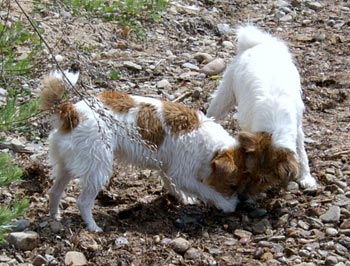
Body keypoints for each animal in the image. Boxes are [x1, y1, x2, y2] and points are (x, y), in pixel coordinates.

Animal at [40, 69, 258, 232]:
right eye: (232, 185)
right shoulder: (182, 173)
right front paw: (226, 204)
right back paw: (93, 227)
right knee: (83, 202)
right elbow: (205, 189)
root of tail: (71, 112)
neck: (210, 145)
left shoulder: (168, 168)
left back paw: (55, 215)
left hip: (67, 165)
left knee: (54, 191)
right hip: (97, 168)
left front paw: (183, 198)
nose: (241, 203)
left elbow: (172, 184)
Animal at [208, 24, 320, 193]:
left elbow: (302, 154)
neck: (275, 127)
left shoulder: (298, 128)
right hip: (224, 96)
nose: (245, 195)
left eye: (265, 180)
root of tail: (259, 44)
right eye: (249, 172)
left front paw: (306, 178)